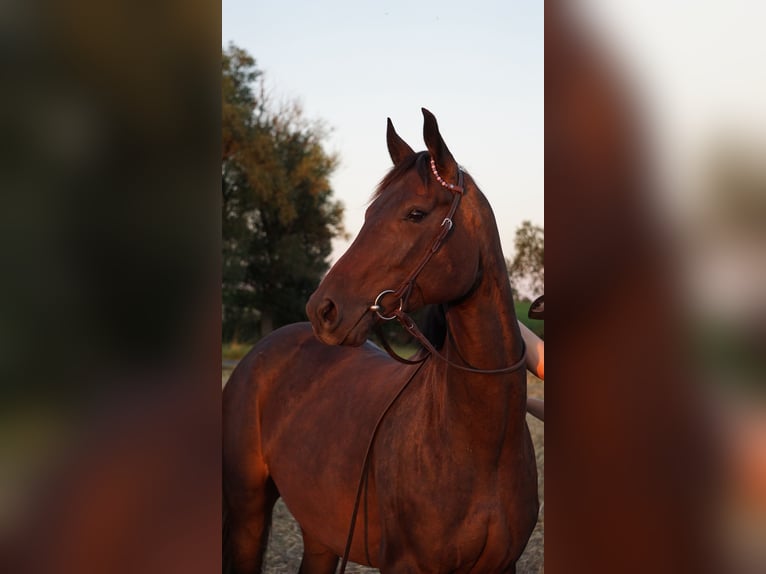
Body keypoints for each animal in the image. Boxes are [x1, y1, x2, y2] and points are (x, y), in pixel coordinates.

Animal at [223, 109, 539, 573]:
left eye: (415, 213)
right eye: (370, 211)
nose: (323, 309)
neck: (481, 442)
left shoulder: (502, 566)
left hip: (321, 533)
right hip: (246, 512)